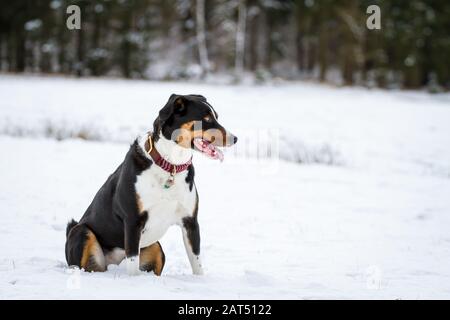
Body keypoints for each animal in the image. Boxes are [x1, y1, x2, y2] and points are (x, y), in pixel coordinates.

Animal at [66, 94, 239, 276]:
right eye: (206, 119)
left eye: (216, 117)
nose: (235, 138)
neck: (171, 166)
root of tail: (113, 265)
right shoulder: (133, 221)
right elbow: (133, 265)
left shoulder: (190, 221)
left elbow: (196, 261)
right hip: (81, 232)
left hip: (156, 248)